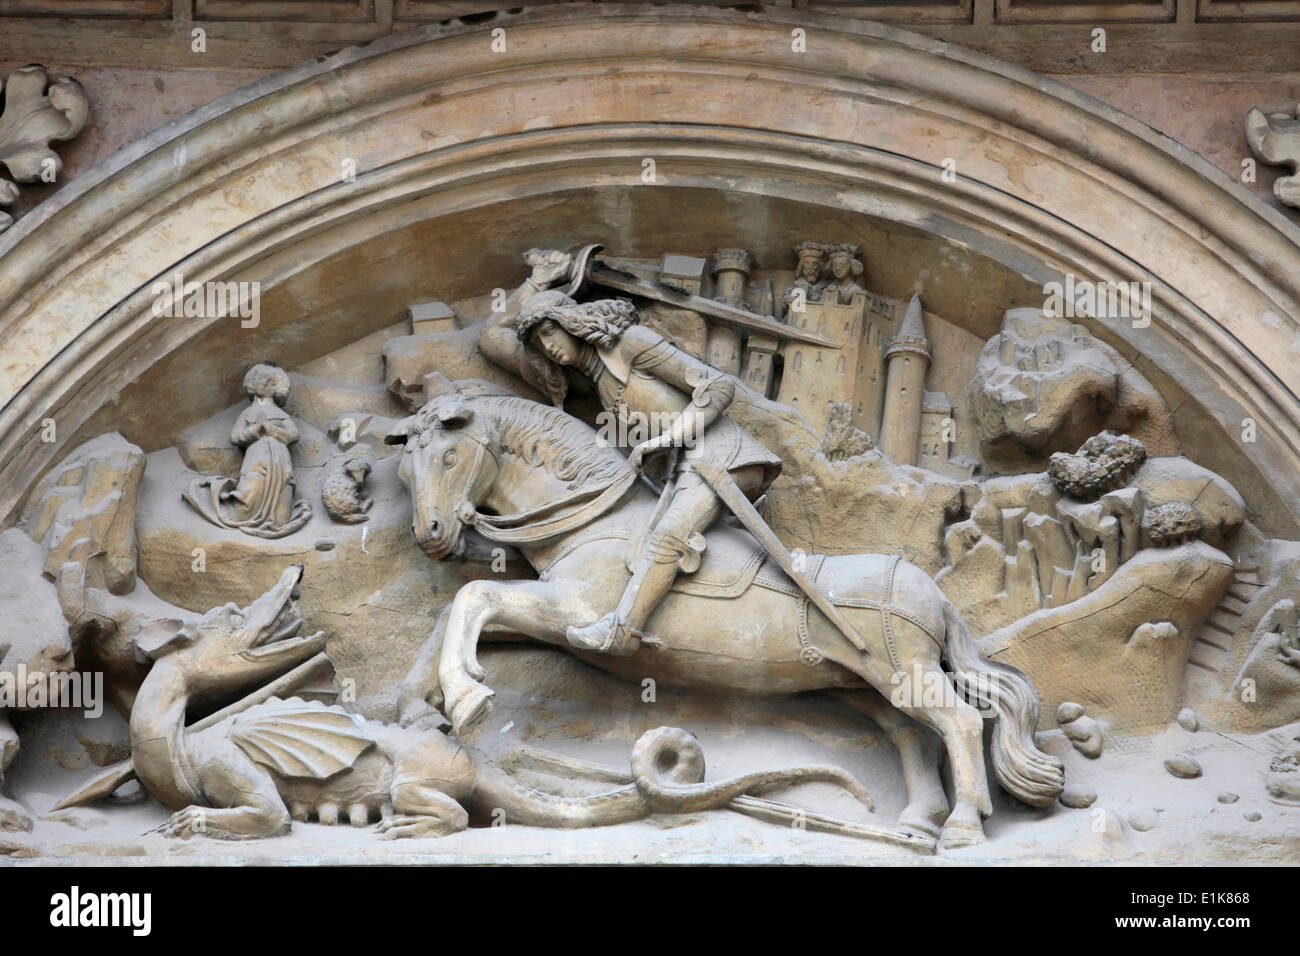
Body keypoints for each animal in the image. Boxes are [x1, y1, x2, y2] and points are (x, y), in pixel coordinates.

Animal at [387, 385, 1066, 848]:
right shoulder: (548, 618)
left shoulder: (572, 613)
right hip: (866, 686)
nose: (431, 536)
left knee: (959, 723)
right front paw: (422, 706)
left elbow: (474, 595)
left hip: (906, 673)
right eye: (404, 470)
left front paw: (468, 700)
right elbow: (450, 616)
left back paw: (962, 826)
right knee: (913, 737)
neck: (592, 521)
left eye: (448, 458)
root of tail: (933, 593)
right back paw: (917, 825)